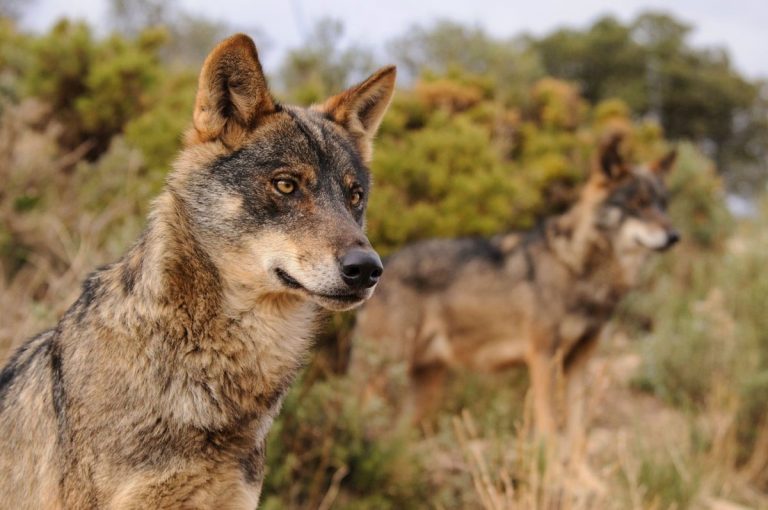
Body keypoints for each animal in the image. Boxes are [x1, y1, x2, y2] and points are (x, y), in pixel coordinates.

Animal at [351, 135, 678, 448]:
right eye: (638, 204)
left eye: (662, 204)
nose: (675, 236)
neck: (577, 267)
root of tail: (383, 264)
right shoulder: (543, 357)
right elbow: (549, 428)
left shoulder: (578, 363)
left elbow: (578, 434)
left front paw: (584, 472)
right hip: (383, 374)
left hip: (424, 389)